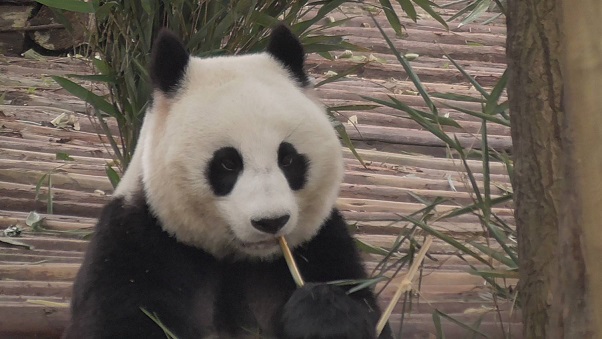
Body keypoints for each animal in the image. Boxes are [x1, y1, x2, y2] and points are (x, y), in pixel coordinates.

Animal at [63, 24, 392, 339]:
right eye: (228, 163)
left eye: (287, 159)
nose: (271, 222)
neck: (237, 258)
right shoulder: (138, 241)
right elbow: (123, 319)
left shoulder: (323, 245)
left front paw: (319, 310)